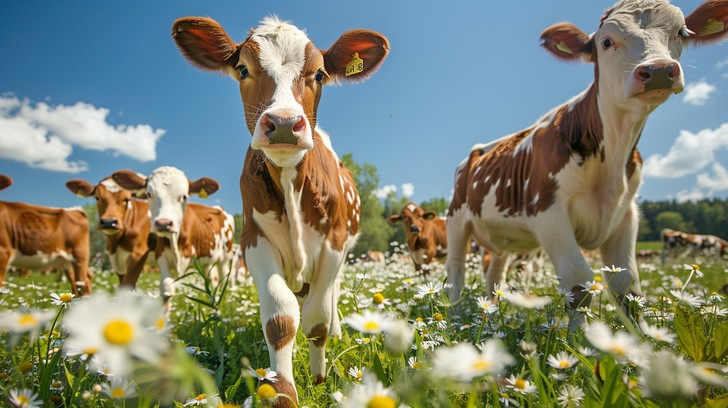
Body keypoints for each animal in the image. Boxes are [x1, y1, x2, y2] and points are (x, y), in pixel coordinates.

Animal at [112, 167, 236, 301]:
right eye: (149, 194)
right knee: (212, 280)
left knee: (224, 279)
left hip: (225, 257)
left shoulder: (186, 257)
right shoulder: (160, 254)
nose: (163, 223)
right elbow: (167, 286)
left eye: (184, 196)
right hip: (207, 260)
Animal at [172, 16, 389, 405]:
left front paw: (318, 379)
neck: (290, 182)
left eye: (319, 74)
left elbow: (317, 318)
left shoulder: (334, 245)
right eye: (243, 69)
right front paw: (281, 391)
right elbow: (281, 318)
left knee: (330, 299)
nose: (286, 123)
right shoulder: (253, 240)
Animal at [446, 0, 728, 310]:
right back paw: (454, 311)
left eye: (681, 33)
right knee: (456, 270)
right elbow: (577, 280)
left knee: (495, 273)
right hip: (456, 220)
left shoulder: (626, 214)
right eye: (606, 42)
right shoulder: (547, 212)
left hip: (503, 238)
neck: (613, 155)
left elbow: (627, 284)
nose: (658, 70)